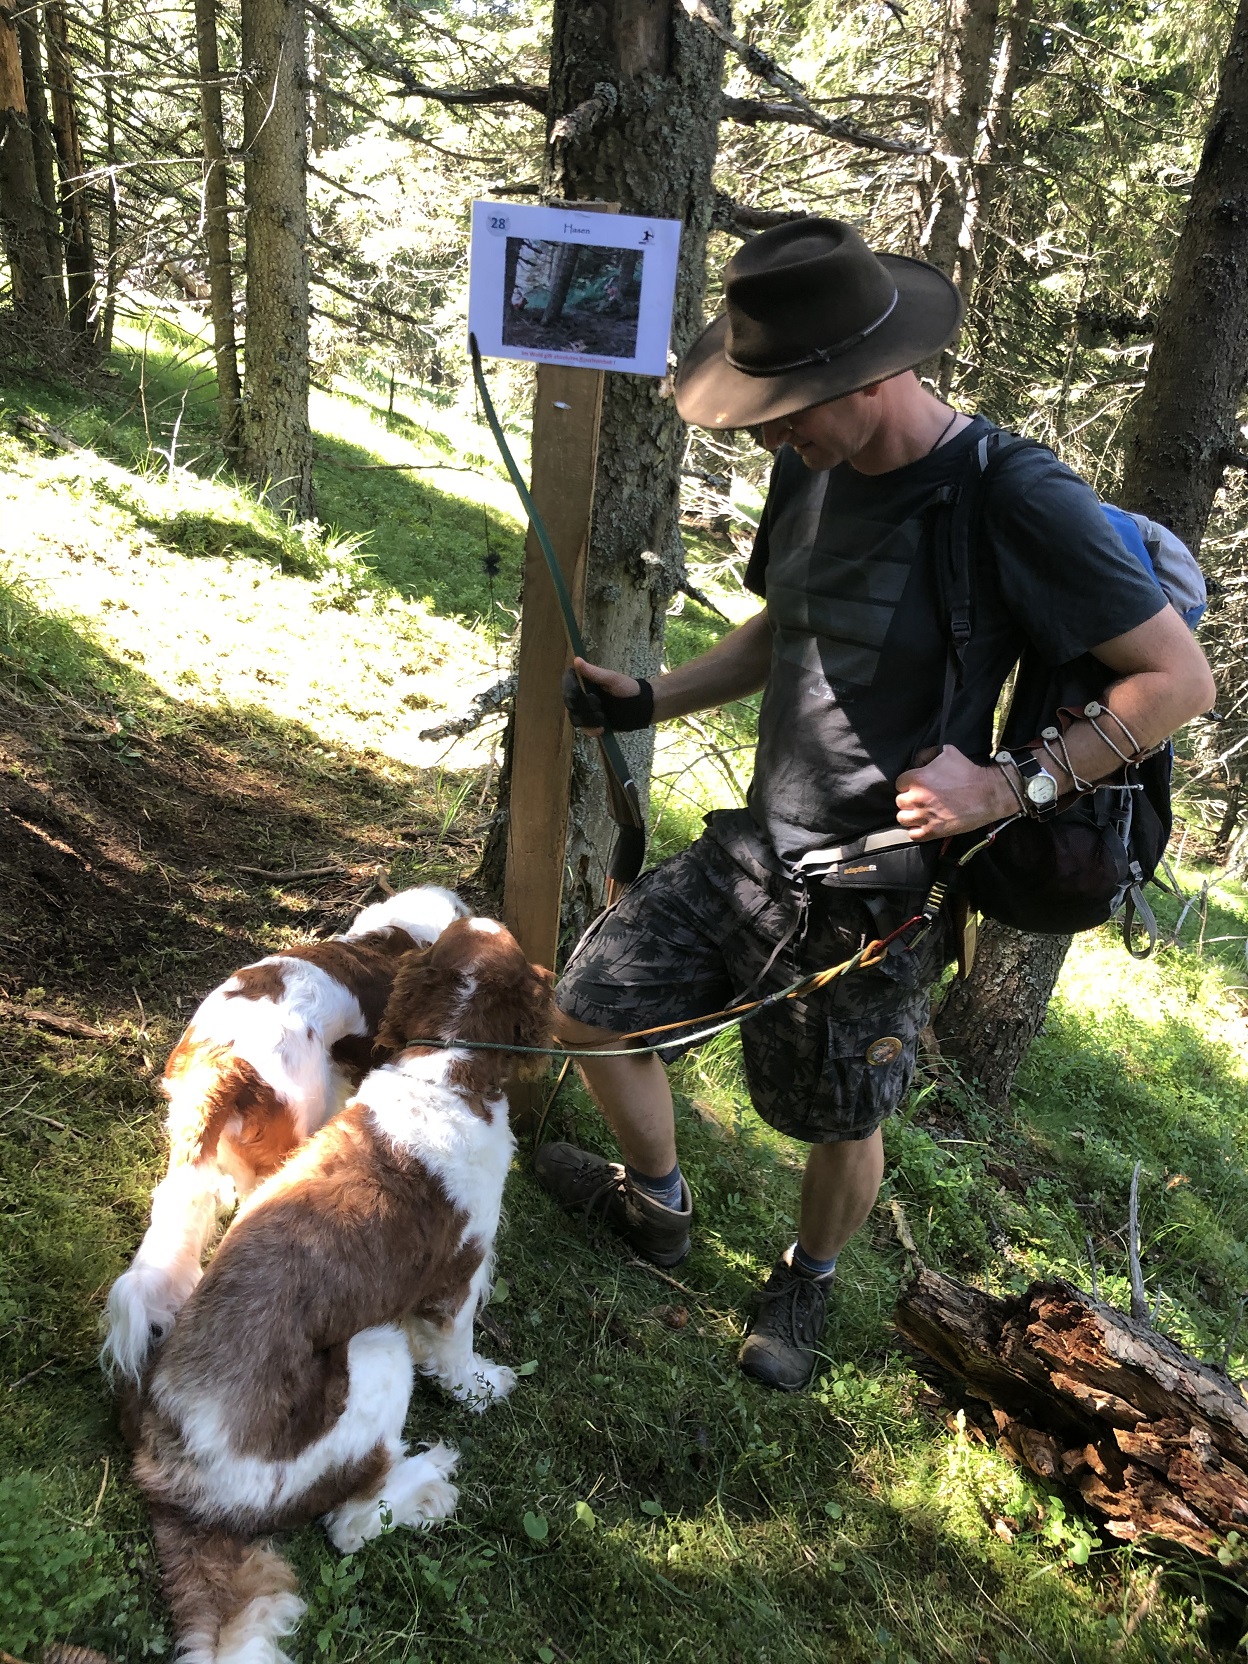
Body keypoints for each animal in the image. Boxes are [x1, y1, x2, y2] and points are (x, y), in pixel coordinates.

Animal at [126, 914, 553, 1664]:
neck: (446, 1066)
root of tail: (178, 1487)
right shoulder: (458, 1273)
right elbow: (457, 1348)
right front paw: (481, 1386)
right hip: (371, 1358)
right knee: (350, 1521)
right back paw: (428, 1483)